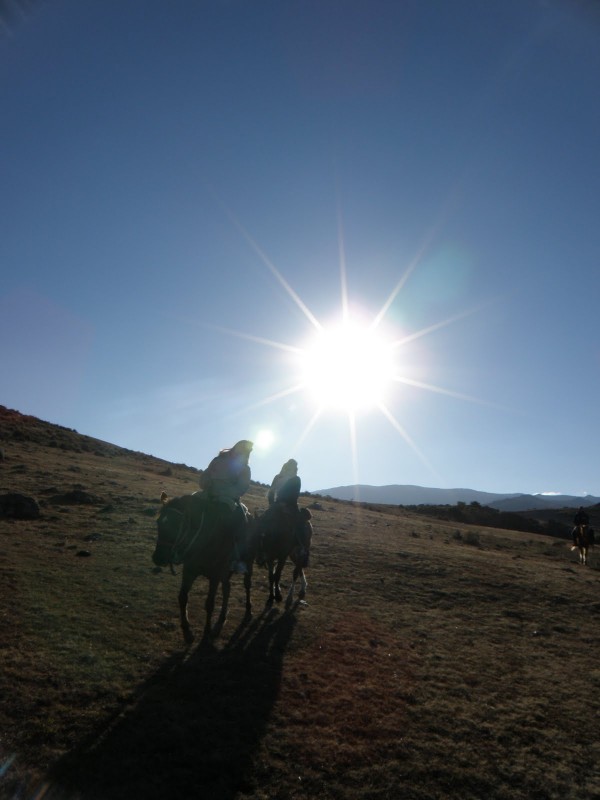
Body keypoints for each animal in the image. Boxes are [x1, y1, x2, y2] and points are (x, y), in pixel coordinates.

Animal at [151, 490, 256, 648]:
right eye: (158, 522)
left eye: (178, 525)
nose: (158, 558)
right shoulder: (189, 571)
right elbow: (182, 597)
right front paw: (187, 632)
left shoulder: (215, 576)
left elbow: (209, 604)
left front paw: (206, 634)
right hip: (225, 572)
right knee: (227, 589)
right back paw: (220, 621)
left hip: (247, 564)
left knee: (247, 585)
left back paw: (248, 610)